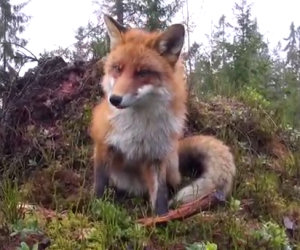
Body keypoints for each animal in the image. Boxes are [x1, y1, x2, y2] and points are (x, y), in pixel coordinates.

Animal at [90, 15, 236, 215]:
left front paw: (161, 219)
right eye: (118, 68)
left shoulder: (156, 156)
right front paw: (96, 209)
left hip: (170, 165)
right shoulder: (104, 144)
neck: (137, 126)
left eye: (142, 72)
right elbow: (99, 185)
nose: (115, 99)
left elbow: (160, 196)